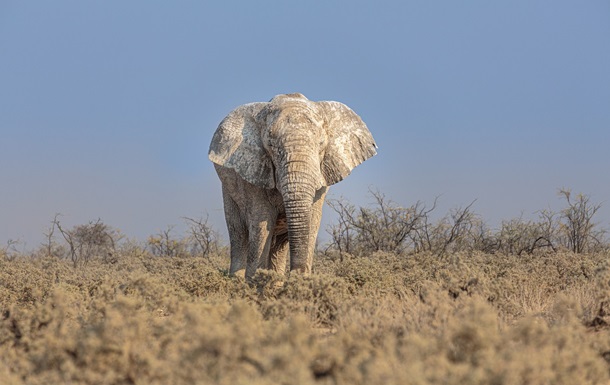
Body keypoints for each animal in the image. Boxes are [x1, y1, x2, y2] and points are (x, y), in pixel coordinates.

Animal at [208, 93, 376, 280]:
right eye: (271, 145)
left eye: (321, 144)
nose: (296, 273)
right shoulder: (252, 172)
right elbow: (261, 221)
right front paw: (255, 281)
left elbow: (312, 220)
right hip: (229, 192)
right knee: (239, 234)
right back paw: (237, 280)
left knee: (279, 245)